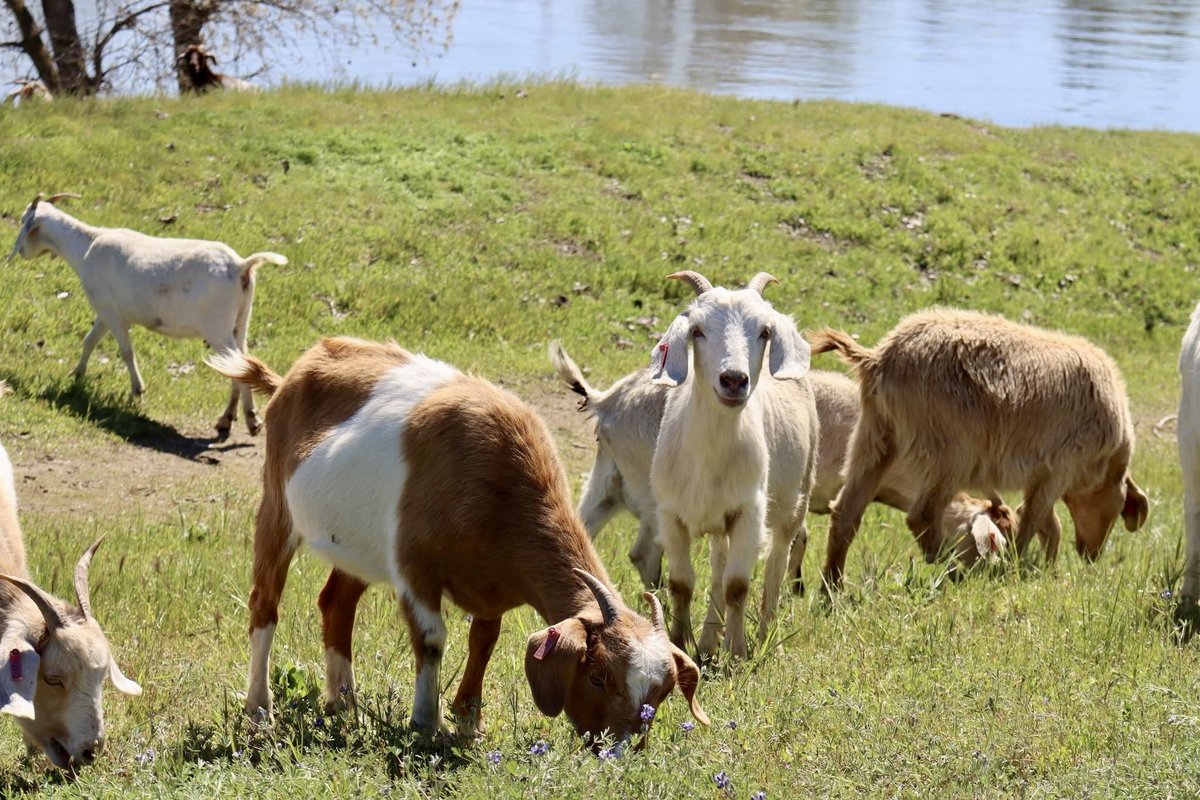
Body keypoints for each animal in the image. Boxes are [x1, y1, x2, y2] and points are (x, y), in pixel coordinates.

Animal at [9, 193, 287, 438]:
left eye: (24, 220)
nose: (19, 252)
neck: (87, 245)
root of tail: (241, 265)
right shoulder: (106, 310)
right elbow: (90, 341)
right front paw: (76, 376)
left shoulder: (109, 309)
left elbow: (126, 350)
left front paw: (137, 390)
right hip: (240, 323)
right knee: (241, 363)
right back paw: (228, 420)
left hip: (216, 328)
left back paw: (250, 420)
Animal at [207, 336, 708, 747]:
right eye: (599, 676)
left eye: (662, 693)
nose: (617, 749)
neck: (501, 484)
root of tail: (291, 376)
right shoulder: (415, 569)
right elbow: (432, 641)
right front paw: (426, 723)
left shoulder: (491, 585)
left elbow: (483, 640)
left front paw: (469, 720)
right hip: (277, 509)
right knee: (264, 604)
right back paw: (260, 710)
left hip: (359, 550)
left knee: (336, 604)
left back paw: (343, 706)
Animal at [550, 344, 1010, 594]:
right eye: (988, 542)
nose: (981, 580)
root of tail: (609, 401)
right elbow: (800, 537)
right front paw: (796, 587)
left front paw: (795, 588)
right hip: (653, 498)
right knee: (643, 553)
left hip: (607, 485)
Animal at [648, 271, 818, 660]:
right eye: (697, 330)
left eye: (764, 332)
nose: (734, 380)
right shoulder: (670, 514)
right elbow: (682, 584)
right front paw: (679, 645)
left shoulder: (748, 511)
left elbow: (738, 586)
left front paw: (737, 653)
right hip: (718, 523)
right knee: (718, 567)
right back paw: (708, 642)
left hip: (795, 502)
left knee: (775, 567)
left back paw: (765, 639)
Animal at [812, 307, 1150, 589]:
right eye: (1120, 508)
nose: (1091, 555)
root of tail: (879, 358)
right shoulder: (1061, 467)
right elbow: (1033, 520)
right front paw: (1016, 567)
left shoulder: (1041, 473)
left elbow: (1046, 523)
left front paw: (1046, 569)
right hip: (950, 451)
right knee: (921, 516)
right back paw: (952, 567)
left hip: (875, 438)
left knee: (845, 513)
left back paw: (832, 590)